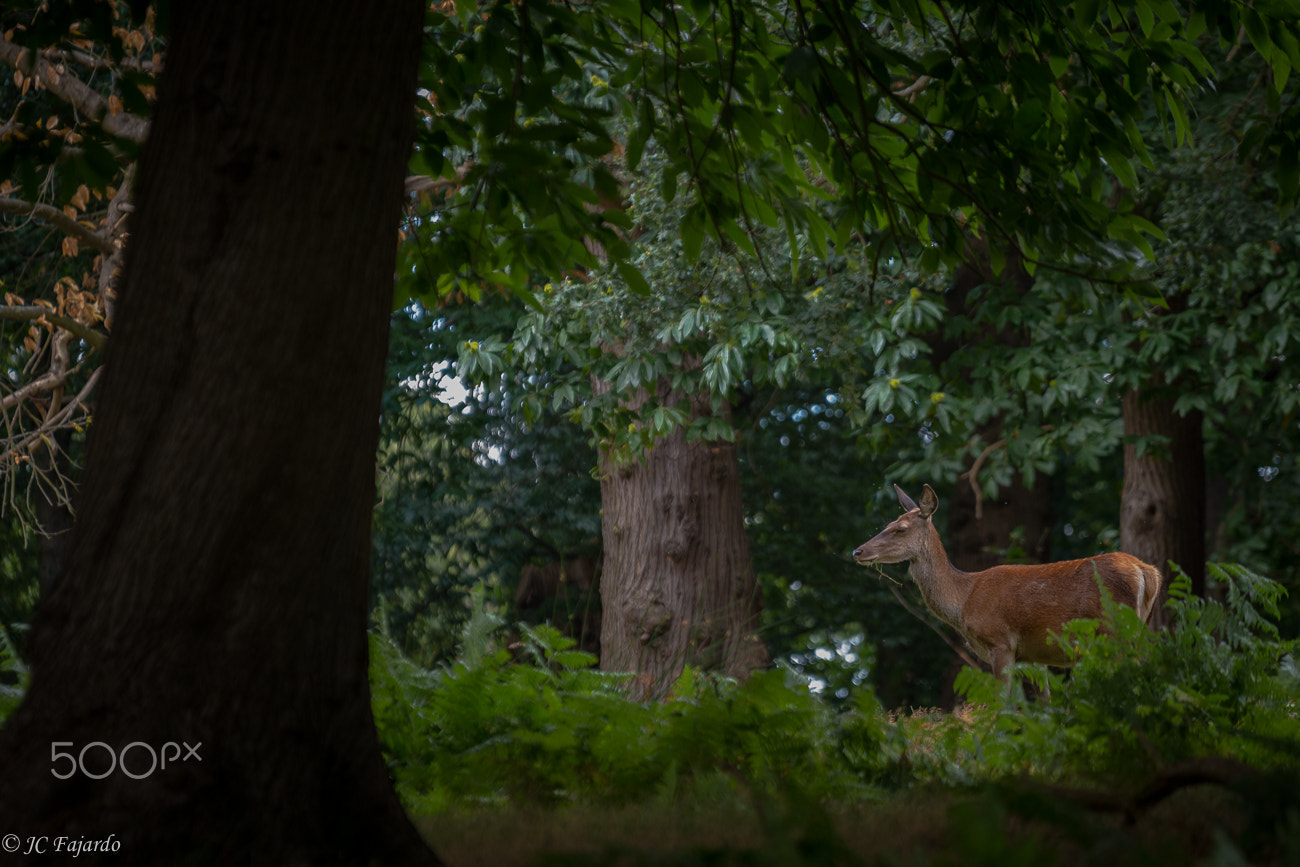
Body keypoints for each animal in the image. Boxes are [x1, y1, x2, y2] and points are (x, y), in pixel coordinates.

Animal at [857, 486, 1164, 686]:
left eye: (901, 529)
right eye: (888, 523)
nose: (858, 551)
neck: (963, 599)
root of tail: (1147, 572)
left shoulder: (1000, 641)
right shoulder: (1032, 656)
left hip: (1113, 629)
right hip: (1140, 626)